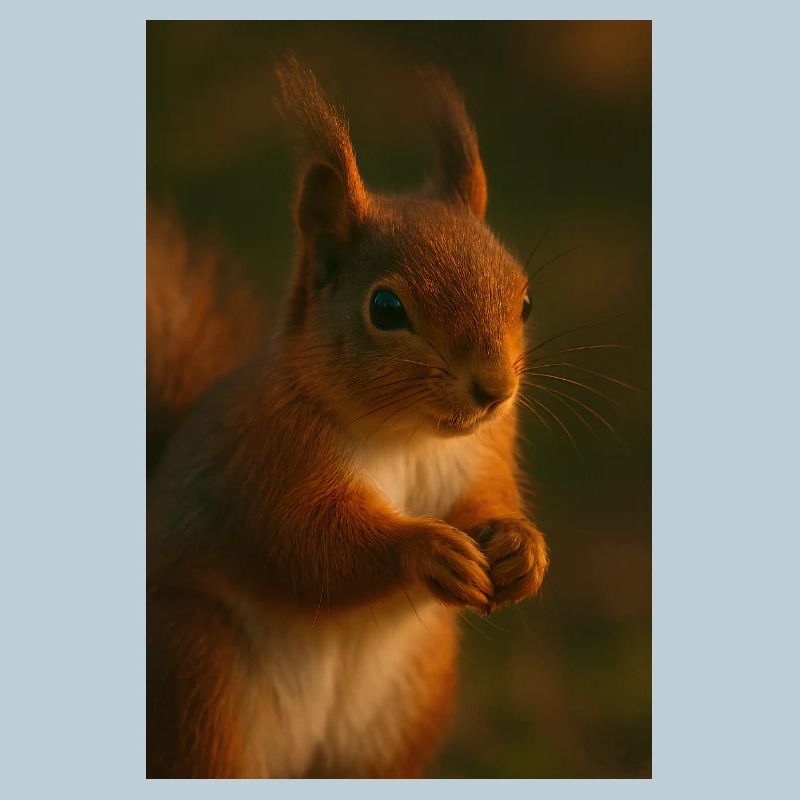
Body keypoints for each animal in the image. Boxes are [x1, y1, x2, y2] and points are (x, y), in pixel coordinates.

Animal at [147, 58, 549, 779]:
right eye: (385, 308)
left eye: (524, 300)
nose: (495, 391)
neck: (408, 436)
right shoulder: (270, 460)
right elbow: (311, 545)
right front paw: (425, 548)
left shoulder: (485, 451)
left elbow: (488, 498)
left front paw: (521, 546)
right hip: (199, 677)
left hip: (402, 709)